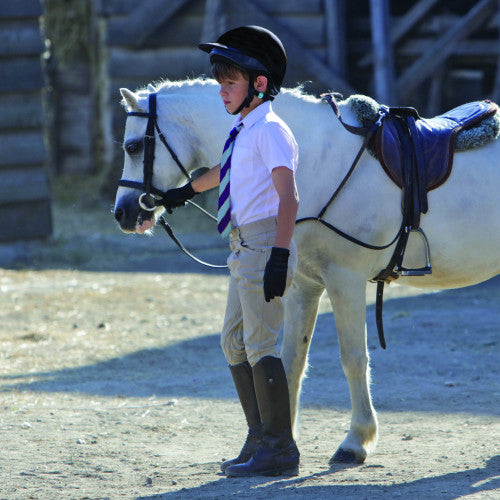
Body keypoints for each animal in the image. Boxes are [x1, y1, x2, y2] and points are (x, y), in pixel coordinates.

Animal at [114, 78, 500, 464]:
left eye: (133, 147)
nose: (123, 213)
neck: (312, 160)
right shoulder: (301, 286)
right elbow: (290, 363)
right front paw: (280, 445)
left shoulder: (346, 279)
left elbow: (353, 358)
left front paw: (356, 441)